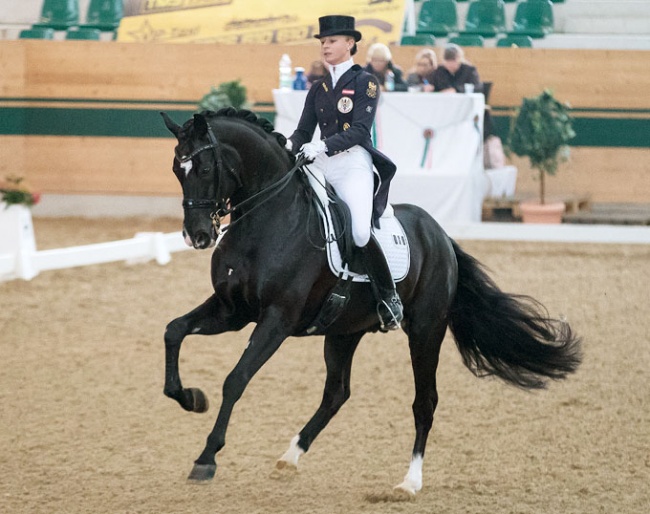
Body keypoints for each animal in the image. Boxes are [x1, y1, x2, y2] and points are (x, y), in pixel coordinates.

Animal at [159, 107, 580, 492]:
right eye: (177, 169)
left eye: (204, 168)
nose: (197, 235)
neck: (266, 222)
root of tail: (440, 236)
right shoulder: (232, 310)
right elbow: (173, 331)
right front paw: (190, 397)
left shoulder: (276, 319)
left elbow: (236, 378)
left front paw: (206, 457)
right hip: (343, 332)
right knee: (336, 393)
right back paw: (290, 456)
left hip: (426, 331)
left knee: (424, 401)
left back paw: (410, 482)